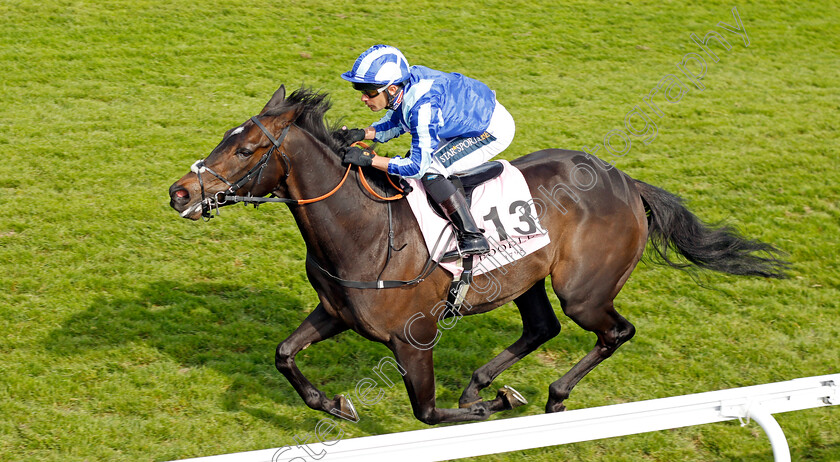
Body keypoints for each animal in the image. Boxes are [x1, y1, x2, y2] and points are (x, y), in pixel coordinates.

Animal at [166, 85, 788, 424]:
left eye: (245, 149)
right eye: (224, 139)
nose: (181, 192)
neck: (363, 231)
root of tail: (626, 181)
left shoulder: (413, 337)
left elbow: (426, 411)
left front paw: (492, 408)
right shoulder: (336, 312)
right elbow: (283, 354)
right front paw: (336, 403)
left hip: (583, 290)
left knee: (614, 331)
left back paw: (549, 396)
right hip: (528, 278)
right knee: (541, 327)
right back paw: (485, 383)